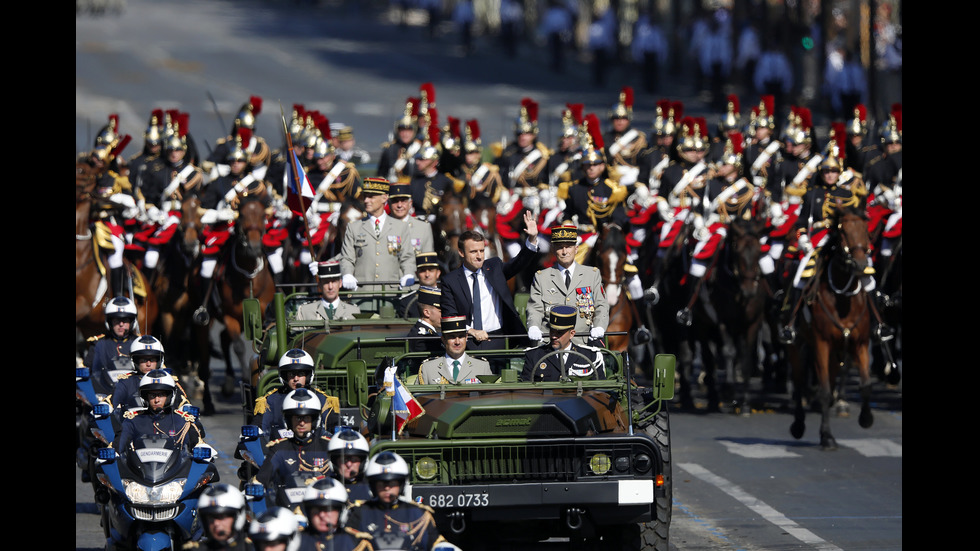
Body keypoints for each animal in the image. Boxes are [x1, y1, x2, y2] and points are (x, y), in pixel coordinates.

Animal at [788, 205, 872, 450]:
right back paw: (798, 425)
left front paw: (866, 418)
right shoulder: (821, 344)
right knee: (798, 382)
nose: (861, 265)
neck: (843, 298)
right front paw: (826, 437)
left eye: (865, 230)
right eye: (842, 231)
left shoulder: (860, 343)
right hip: (796, 344)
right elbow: (825, 391)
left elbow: (865, 385)